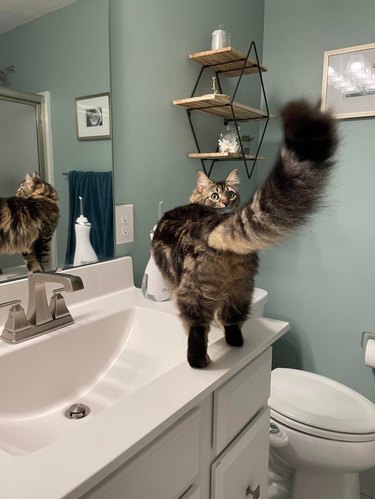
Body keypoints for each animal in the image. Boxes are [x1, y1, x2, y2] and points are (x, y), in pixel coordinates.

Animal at [151, 100, 340, 368]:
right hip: (242, 288)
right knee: (232, 320)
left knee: (197, 327)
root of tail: (217, 221)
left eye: (230, 194)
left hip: (194, 292)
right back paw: (235, 343)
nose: (225, 203)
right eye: (215, 195)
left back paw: (198, 361)